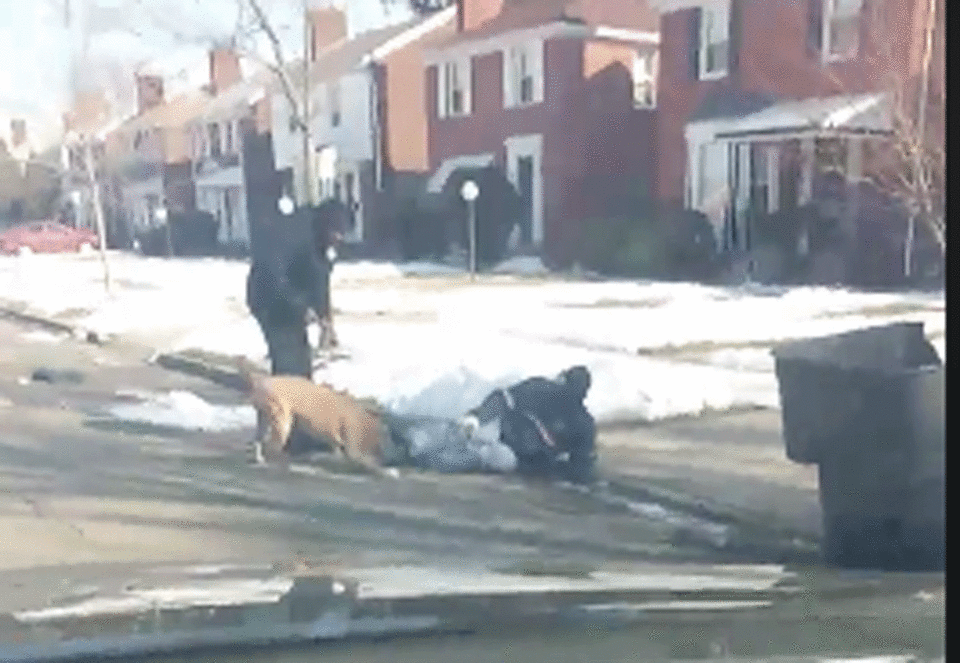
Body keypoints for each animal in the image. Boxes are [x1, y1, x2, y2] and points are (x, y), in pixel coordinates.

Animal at [236, 358, 398, 478]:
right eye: (389, 438)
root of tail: (261, 380)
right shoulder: (354, 449)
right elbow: (371, 463)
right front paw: (389, 471)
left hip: (264, 418)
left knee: (259, 440)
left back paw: (260, 459)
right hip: (282, 420)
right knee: (274, 447)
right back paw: (284, 466)